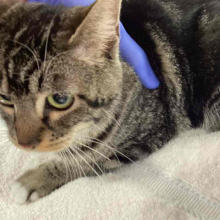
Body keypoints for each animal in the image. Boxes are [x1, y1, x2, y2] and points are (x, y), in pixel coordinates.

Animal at [0, 0, 218, 204]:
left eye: (60, 100)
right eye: (4, 98)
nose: (24, 144)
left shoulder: (147, 135)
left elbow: (87, 160)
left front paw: (35, 179)